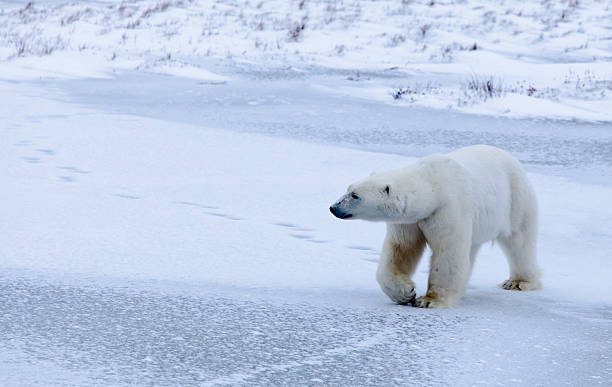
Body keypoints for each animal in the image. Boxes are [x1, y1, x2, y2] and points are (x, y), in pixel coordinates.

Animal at [330, 146, 540, 310]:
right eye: (348, 188)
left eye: (355, 195)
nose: (333, 207)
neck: (433, 186)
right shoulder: (410, 221)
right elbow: (401, 250)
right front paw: (405, 293)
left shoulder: (449, 209)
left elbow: (448, 253)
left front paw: (429, 300)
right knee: (471, 250)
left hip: (515, 200)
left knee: (519, 242)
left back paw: (518, 282)